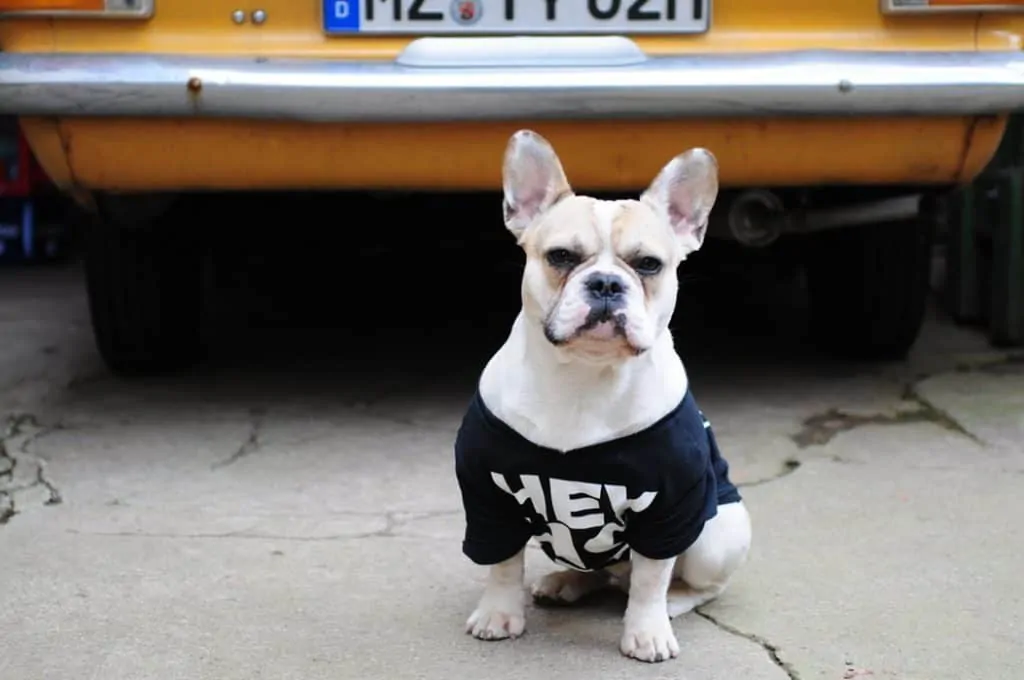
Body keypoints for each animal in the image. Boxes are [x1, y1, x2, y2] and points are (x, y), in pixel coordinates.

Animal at [456, 130, 753, 659]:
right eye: (560, 257)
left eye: (649, 265)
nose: (607, 283)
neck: (583, 376)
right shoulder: (488, 497)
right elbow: (502, 563)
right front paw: (498, 613)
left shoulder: (669, 508)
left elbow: (652, 578)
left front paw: (648, 630)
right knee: (602, 572)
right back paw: (564, 583)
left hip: (717, 535)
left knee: (688, 585)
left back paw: (671, 603)